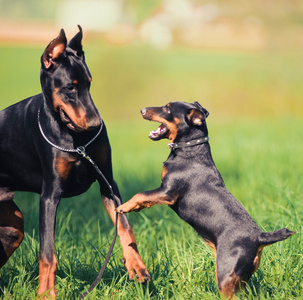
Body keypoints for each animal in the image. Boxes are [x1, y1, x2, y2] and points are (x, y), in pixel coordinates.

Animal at [0, 26, 150, 298]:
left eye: (90, 83)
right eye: (70, 87)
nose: (95, 125)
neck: (76, 141)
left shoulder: (107, 182)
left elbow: (124, 225)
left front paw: (136, 265)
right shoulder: (50, 194)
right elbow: (47, 253)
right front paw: (45, 293)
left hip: (11, 227)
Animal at [117, 102, 296, 298]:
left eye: (168, 108)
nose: (142, 110)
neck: (190, 150)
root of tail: (259, 237)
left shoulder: (167, 192)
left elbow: (141, 194)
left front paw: (123, 207)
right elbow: (145, 198)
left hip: (225, 276)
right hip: (240, 279)